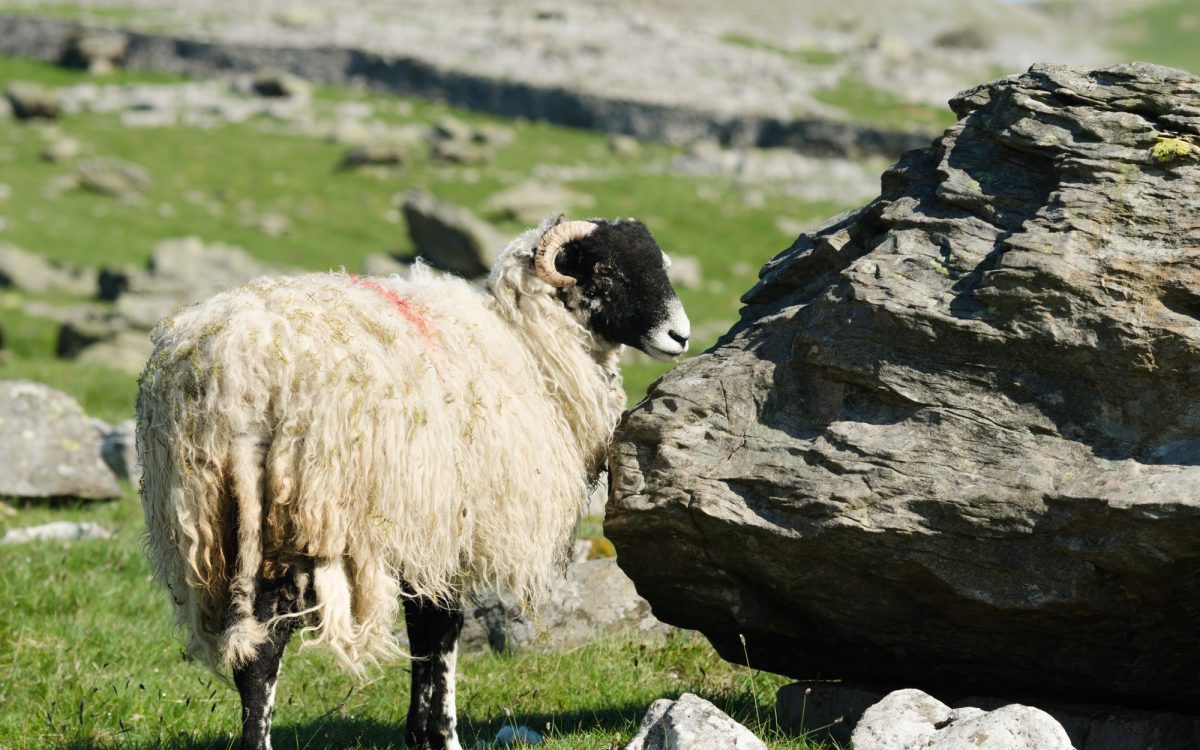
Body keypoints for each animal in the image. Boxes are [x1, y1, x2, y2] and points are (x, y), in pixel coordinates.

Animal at [135, 216, 691, 748]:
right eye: (606, 270)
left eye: (658, 263)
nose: (680, 336)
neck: (528, 347)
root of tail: (236, 370)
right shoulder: (450, 529)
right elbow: (440, 632)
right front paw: (442, 736)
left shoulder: (426, 533)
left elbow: (425, 633)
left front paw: (418, 733)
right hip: (300, 512)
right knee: (266, 645)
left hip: (210, 516)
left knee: (249, 642)